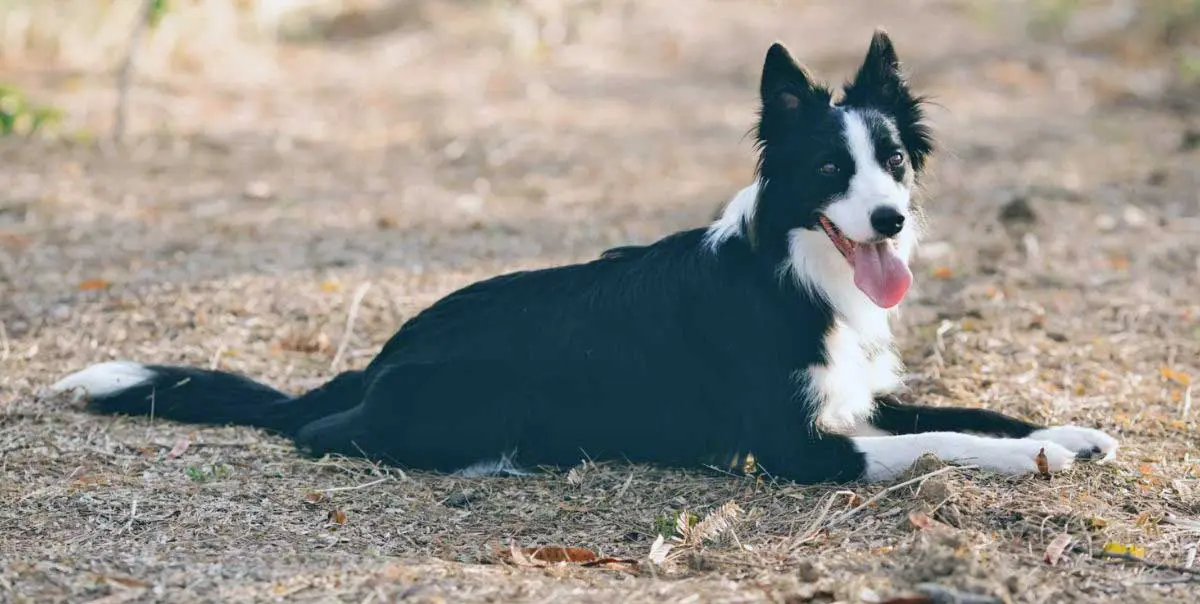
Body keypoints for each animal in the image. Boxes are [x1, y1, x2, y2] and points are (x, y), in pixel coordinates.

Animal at [46, 30, 1113, 485]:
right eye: (826, 169)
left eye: (892, 161)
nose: (889, 220)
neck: (790, 270)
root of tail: (382, 355)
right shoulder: (796, 445)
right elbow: (948, 440)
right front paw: (1037, 456)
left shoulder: (853, 396)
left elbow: (969, 408)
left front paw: (1068, 430)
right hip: (465, 400)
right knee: (323, 434)